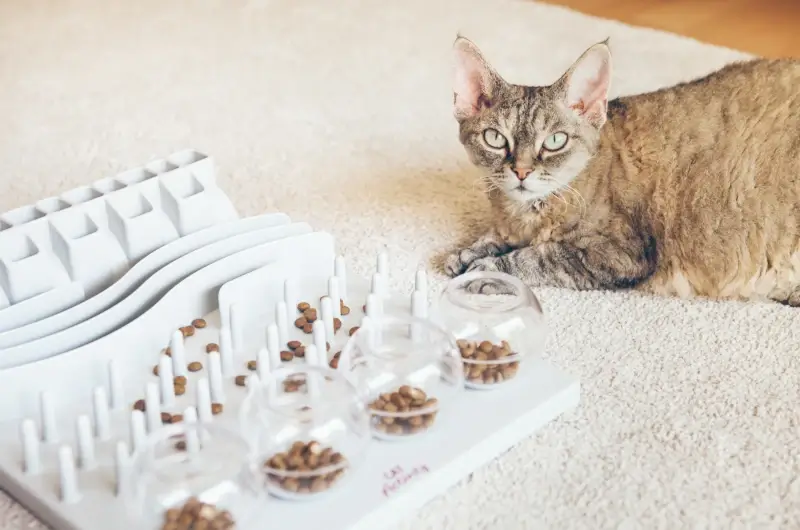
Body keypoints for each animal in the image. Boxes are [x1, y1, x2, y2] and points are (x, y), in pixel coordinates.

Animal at [440, 35, 800, 304]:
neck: (526, 212)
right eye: (495, 138)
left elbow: (536, 257)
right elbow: (495, 237)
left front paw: (485, 267)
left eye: (555, 141)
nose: (522, 172)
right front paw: (469, 252)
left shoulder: (619, 254)